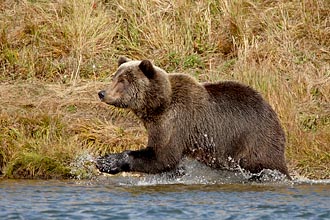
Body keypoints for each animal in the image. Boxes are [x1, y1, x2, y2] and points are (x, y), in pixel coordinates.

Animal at [96, 56, 292, 180]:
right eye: (114, 77)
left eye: (122, 81)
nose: (102, 93)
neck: (158, 105)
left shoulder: (175, 123)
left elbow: (162, 157)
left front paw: (108, 161)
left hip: (254, 139)